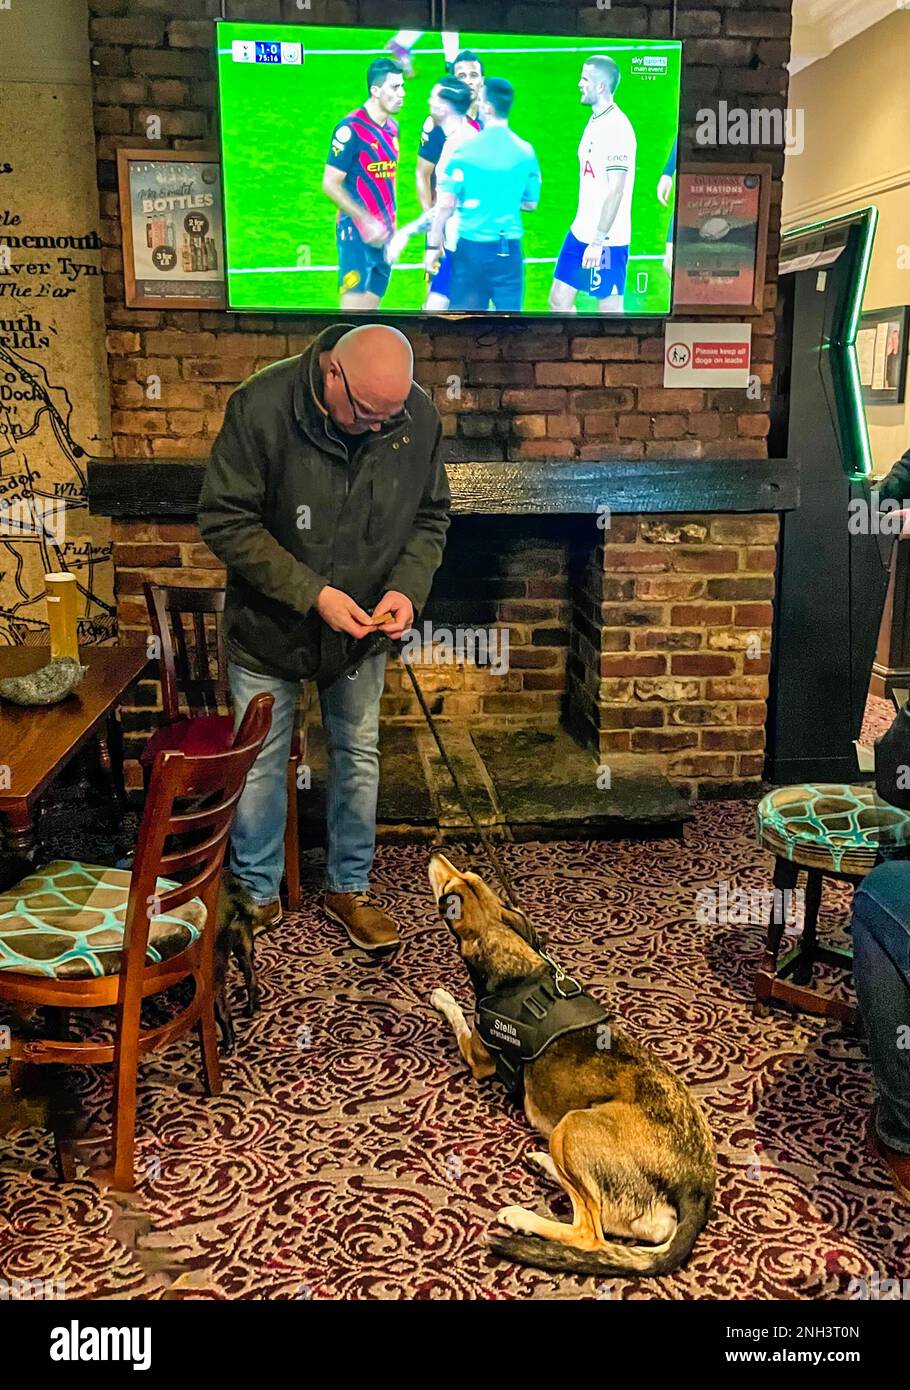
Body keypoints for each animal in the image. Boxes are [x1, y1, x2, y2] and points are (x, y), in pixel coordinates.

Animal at [427, 850, 716, 1273]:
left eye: (451, 890)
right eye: (470, 875)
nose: (436, 855)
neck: (517, 966)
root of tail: (697, 1187)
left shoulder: (478, 1055)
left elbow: (458, 1014)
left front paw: (441, 997)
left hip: (572, 1126)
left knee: (589, 1232)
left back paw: (521, 1216)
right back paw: (543, 1163)